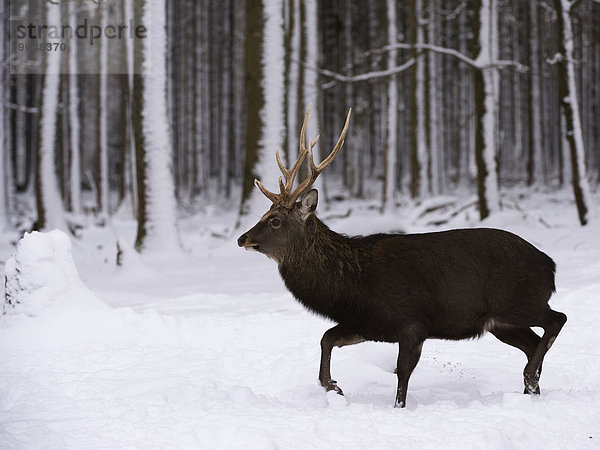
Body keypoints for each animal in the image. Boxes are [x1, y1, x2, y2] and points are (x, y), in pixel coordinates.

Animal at [237, 105, 564, 408]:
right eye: (265, 213)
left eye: (275, 220)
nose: (243, 238)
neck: (353, 285)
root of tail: (550, 265)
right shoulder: (366, 324)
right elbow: (326, 338)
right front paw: (334, 387)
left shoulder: (412, 321)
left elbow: (402, 374)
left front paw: (395, 407)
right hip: (500, 322)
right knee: (533, 343)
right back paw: (530, 388)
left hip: (517, 300)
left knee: (556, 319)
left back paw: (528, 377)